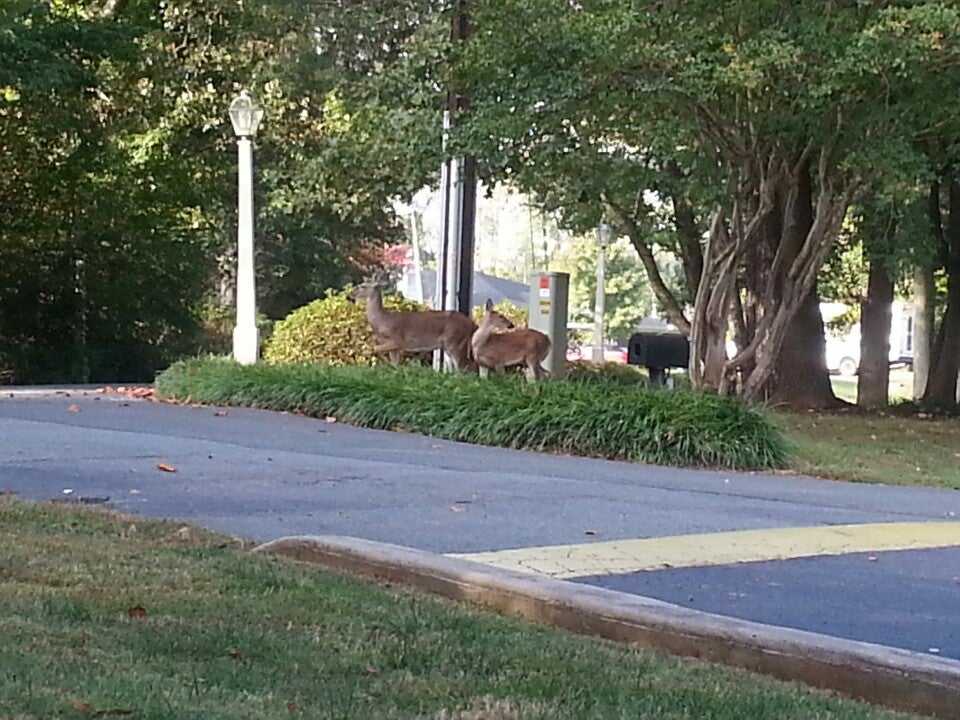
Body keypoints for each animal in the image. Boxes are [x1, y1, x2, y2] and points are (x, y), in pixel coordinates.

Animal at [348, 282, 476, 372]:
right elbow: (395, 365)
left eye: (363, 286)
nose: (349, 295)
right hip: (452, 345)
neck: (382, 320)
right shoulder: (394, 348)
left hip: (455, 342)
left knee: (466, 367)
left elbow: (373, 348)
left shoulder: (398, 340)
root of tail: (472, 323)